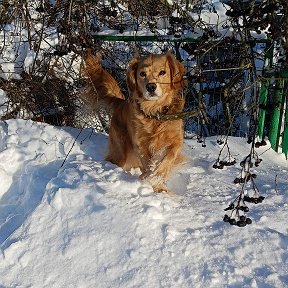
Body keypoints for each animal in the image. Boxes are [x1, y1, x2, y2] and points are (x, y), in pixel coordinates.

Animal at [82, 50, 187, 192]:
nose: (151, 86)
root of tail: (121, 103)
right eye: (142, 74)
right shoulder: (140, 143)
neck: (155, 111)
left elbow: (168, 157)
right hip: (120, 151)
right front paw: (150, 176)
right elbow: (147, 163)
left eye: (162, 72)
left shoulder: (176, 140)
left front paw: (158, 178)